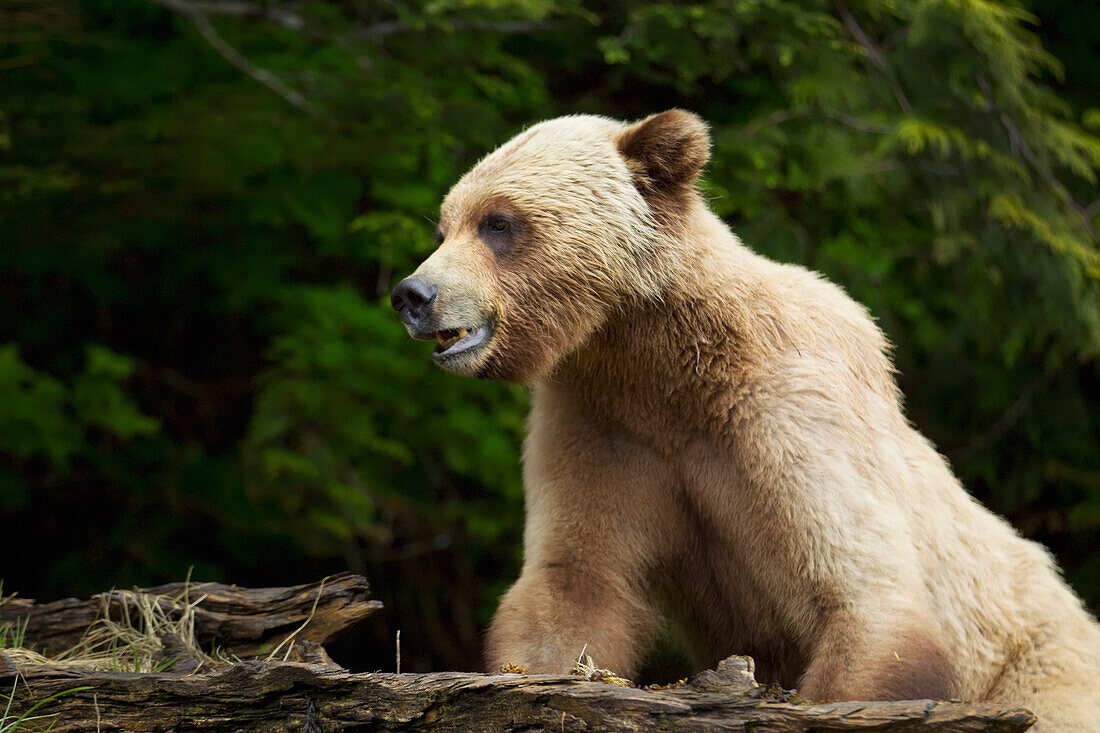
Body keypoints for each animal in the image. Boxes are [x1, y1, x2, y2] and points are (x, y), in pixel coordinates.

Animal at [389, 110, 1100, 730]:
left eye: (498, 221)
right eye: (445, 226)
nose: (412, 295)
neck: (661, 365)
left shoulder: (788, 417)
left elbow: (864, 594)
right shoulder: (603, 427)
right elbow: (578, 578)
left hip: (1043, 665)